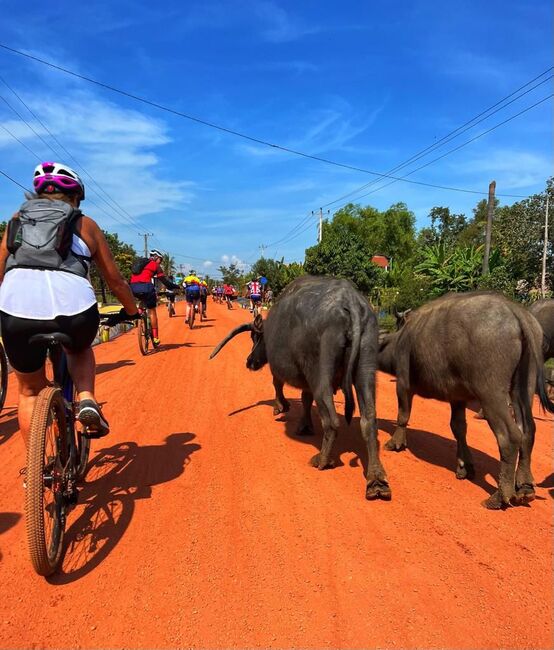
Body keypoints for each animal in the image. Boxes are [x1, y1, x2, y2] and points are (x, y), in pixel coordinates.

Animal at [209, 276, 390, 498]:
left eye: (254, 337)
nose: (249, 361)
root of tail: (352, 303)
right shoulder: (306, 377)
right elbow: (305, 398)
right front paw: (305, 425)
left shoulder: (281, 366)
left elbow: (277, 384)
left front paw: (281, 407)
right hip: (366, 366)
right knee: (369, 420)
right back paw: (376, 481)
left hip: (321, 374)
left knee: (331, 420)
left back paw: (322, 460)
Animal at [376, 292, 552, 508]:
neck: (398, 342)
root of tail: (517, 311)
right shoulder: (457, 398)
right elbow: (458, 427)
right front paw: (464, 465)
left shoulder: (403, 384)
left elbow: (403, 415)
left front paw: (396, 443)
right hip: (524, 387)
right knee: (528, 431)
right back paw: (525, 487)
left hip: (491, 393)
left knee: (510, 436)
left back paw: (499, 497)